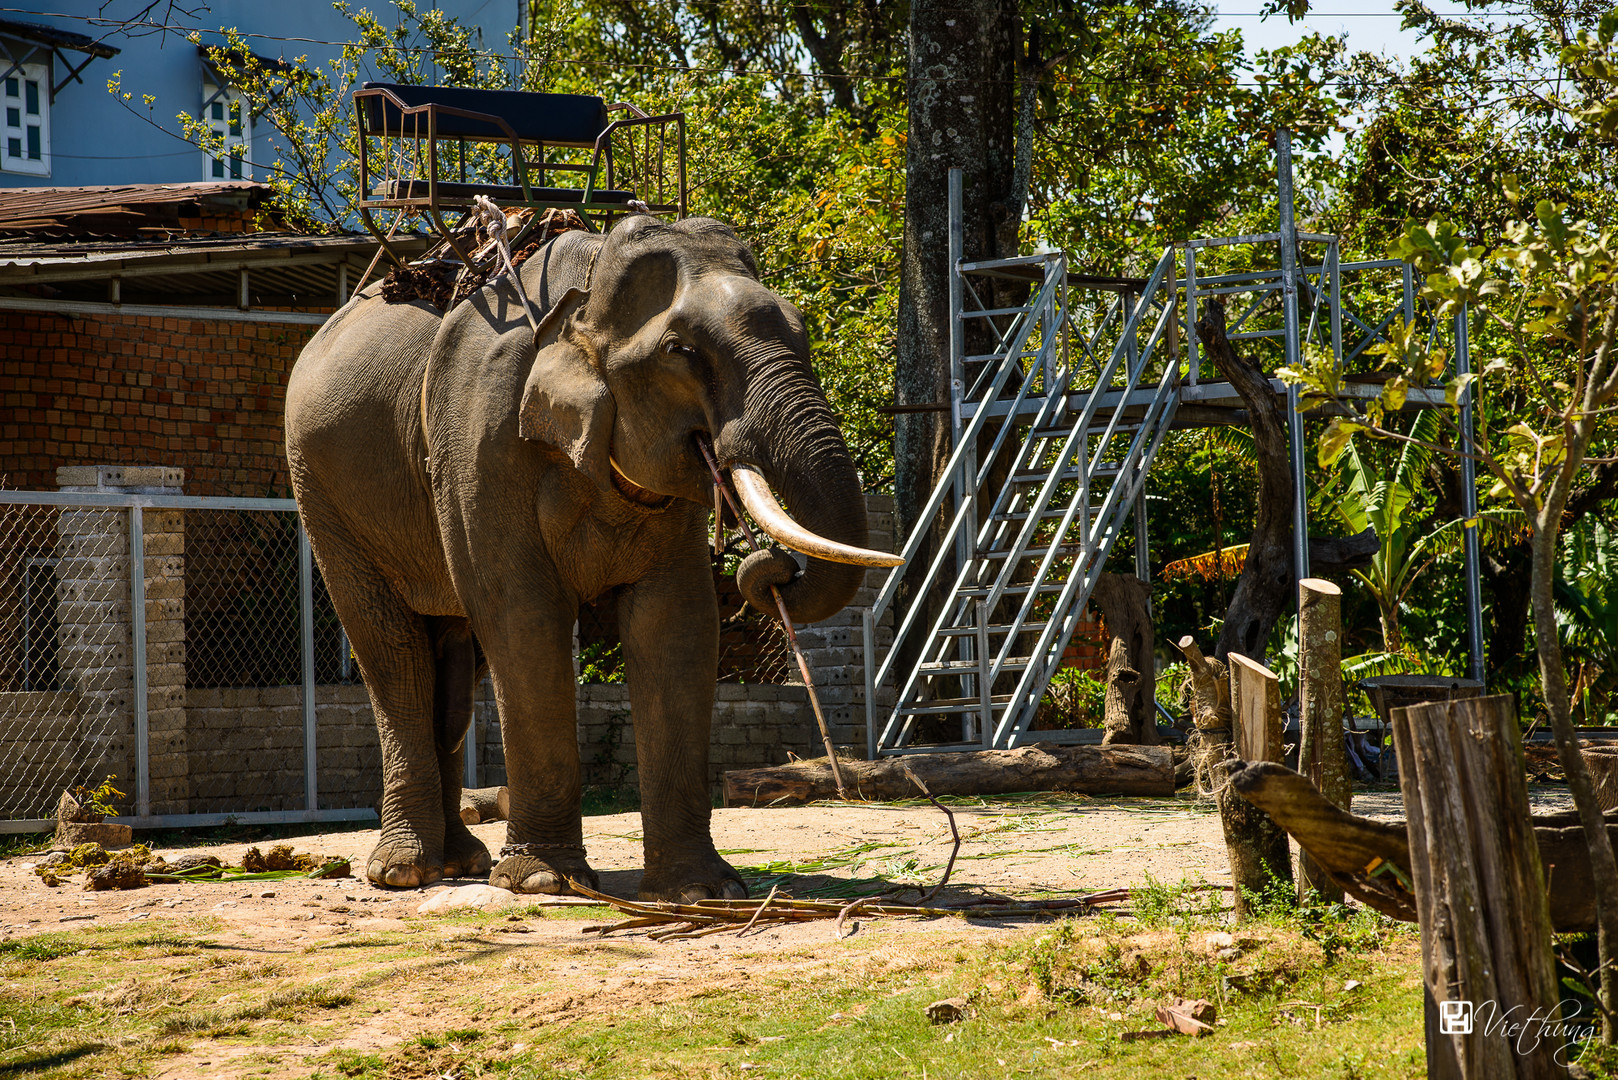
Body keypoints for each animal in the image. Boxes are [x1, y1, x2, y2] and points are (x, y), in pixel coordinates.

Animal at [286, 213, 906, 906]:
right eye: (680, 351)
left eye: (802, 330)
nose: (767, 567)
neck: (583, 300)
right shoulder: (481, 439)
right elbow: (524, 615)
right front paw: (544, 880)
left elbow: (676, 621)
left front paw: (704, 891)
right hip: (324, 494)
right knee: (395, 655)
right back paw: (404, 872)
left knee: (453, 670)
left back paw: (462, 862)